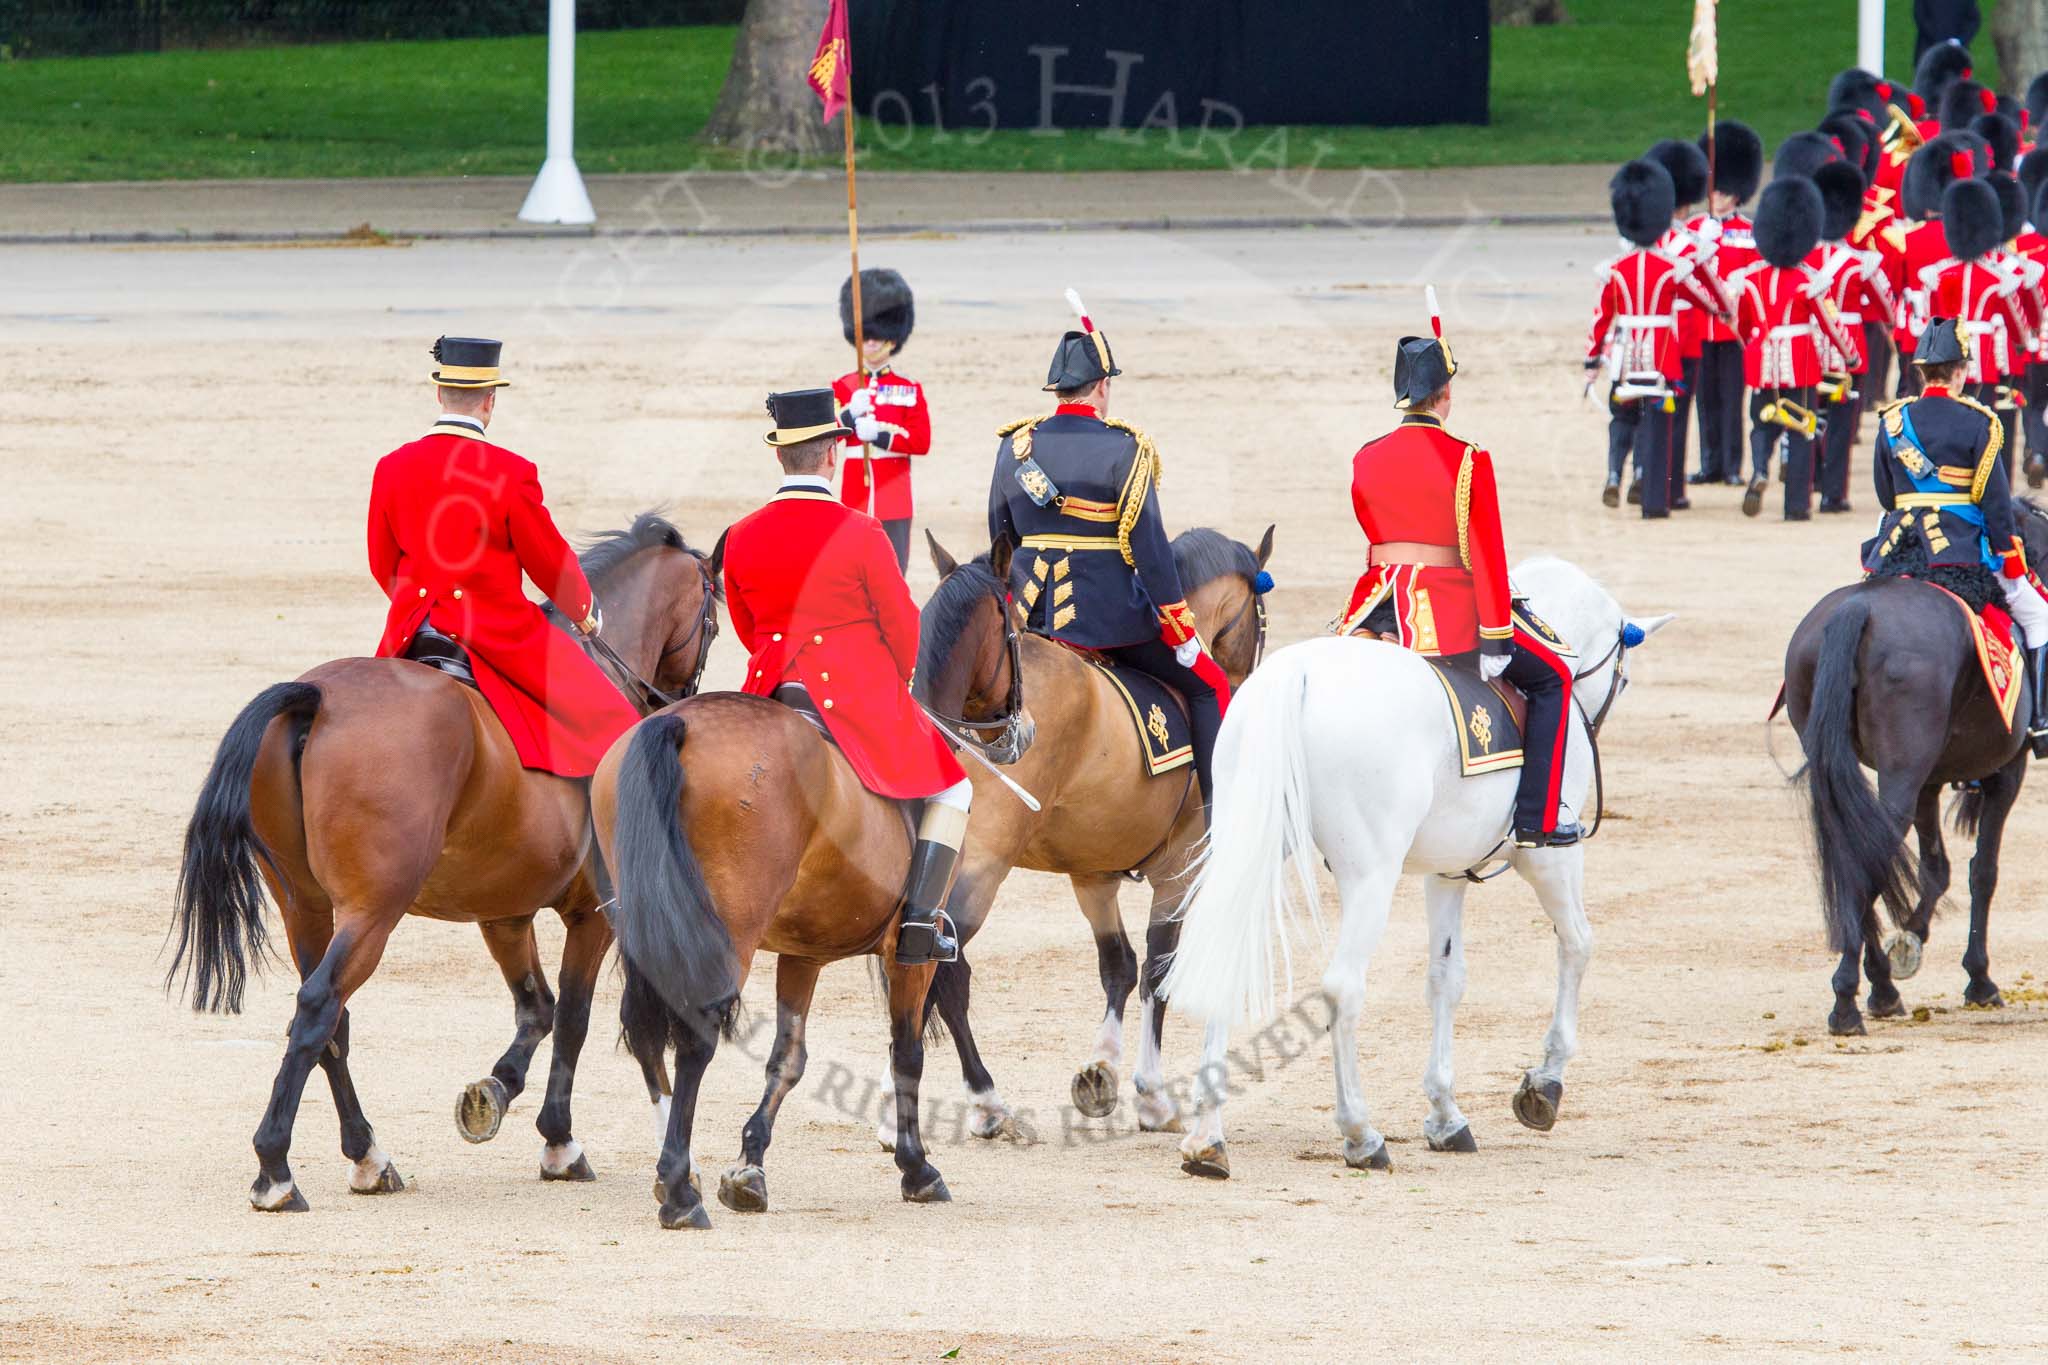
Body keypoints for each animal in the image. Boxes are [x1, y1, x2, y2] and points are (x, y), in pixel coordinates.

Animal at [172, 515, 724, 1219]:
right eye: (713, 620)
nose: (673, 701)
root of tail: (315, 696)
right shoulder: (593, 913)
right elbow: (573, 1016)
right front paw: (559, 1141)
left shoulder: (504, 912)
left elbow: (538, 1008)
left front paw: (496, 1092)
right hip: (372, 913)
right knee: (320, 1008)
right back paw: (276, 1170)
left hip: (306, 908)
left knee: (332, 1023)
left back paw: (367, 1155)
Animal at [909, 527, 1269, 1146]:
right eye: (1260, 621)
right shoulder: (1179, 872)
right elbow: (1157, 968)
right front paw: (1150, 1095)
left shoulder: (1092, 875)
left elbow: (1118, 964)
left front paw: (1102, 1070)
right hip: (980, 866)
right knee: (946, 967)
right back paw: (986, 1101)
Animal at [1163, 560, 1671, 1178]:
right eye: (1624, 680)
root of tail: (1297, 674)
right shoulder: (1551, 857)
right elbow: (1577, 944)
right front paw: (1544, 1084)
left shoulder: (1446, 874)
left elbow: (1445, 980)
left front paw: (1446, 1115)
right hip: (1371, 878)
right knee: (1342, 988)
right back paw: (1360, 1134)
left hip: (1248, 847)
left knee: (1225, 954)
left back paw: (1206, 1139)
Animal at [1777, 499, 2048, 1035]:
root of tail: (1858, 608)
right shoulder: (2007, 772)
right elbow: (1982, 871)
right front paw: (1976, 977)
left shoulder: (1928, 781)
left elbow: (1936, 869)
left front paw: (1909, 942)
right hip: (1906, 772)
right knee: (1872, 856)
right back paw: (1850, 1001)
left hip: (1854, 770)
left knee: (1855, 850)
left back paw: (1878, 989)